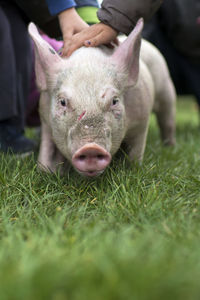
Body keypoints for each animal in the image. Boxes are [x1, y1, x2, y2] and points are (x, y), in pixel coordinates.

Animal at [27, 18, 175, 177]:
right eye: (62, 102)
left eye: (114, 101)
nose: (91, 148)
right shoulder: (45, 121)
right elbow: (47, 156)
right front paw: (45, 172)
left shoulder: (141, 121)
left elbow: (135, 154)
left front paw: (132, 169)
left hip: (166, 88)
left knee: (167, 121)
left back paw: (169, 147)